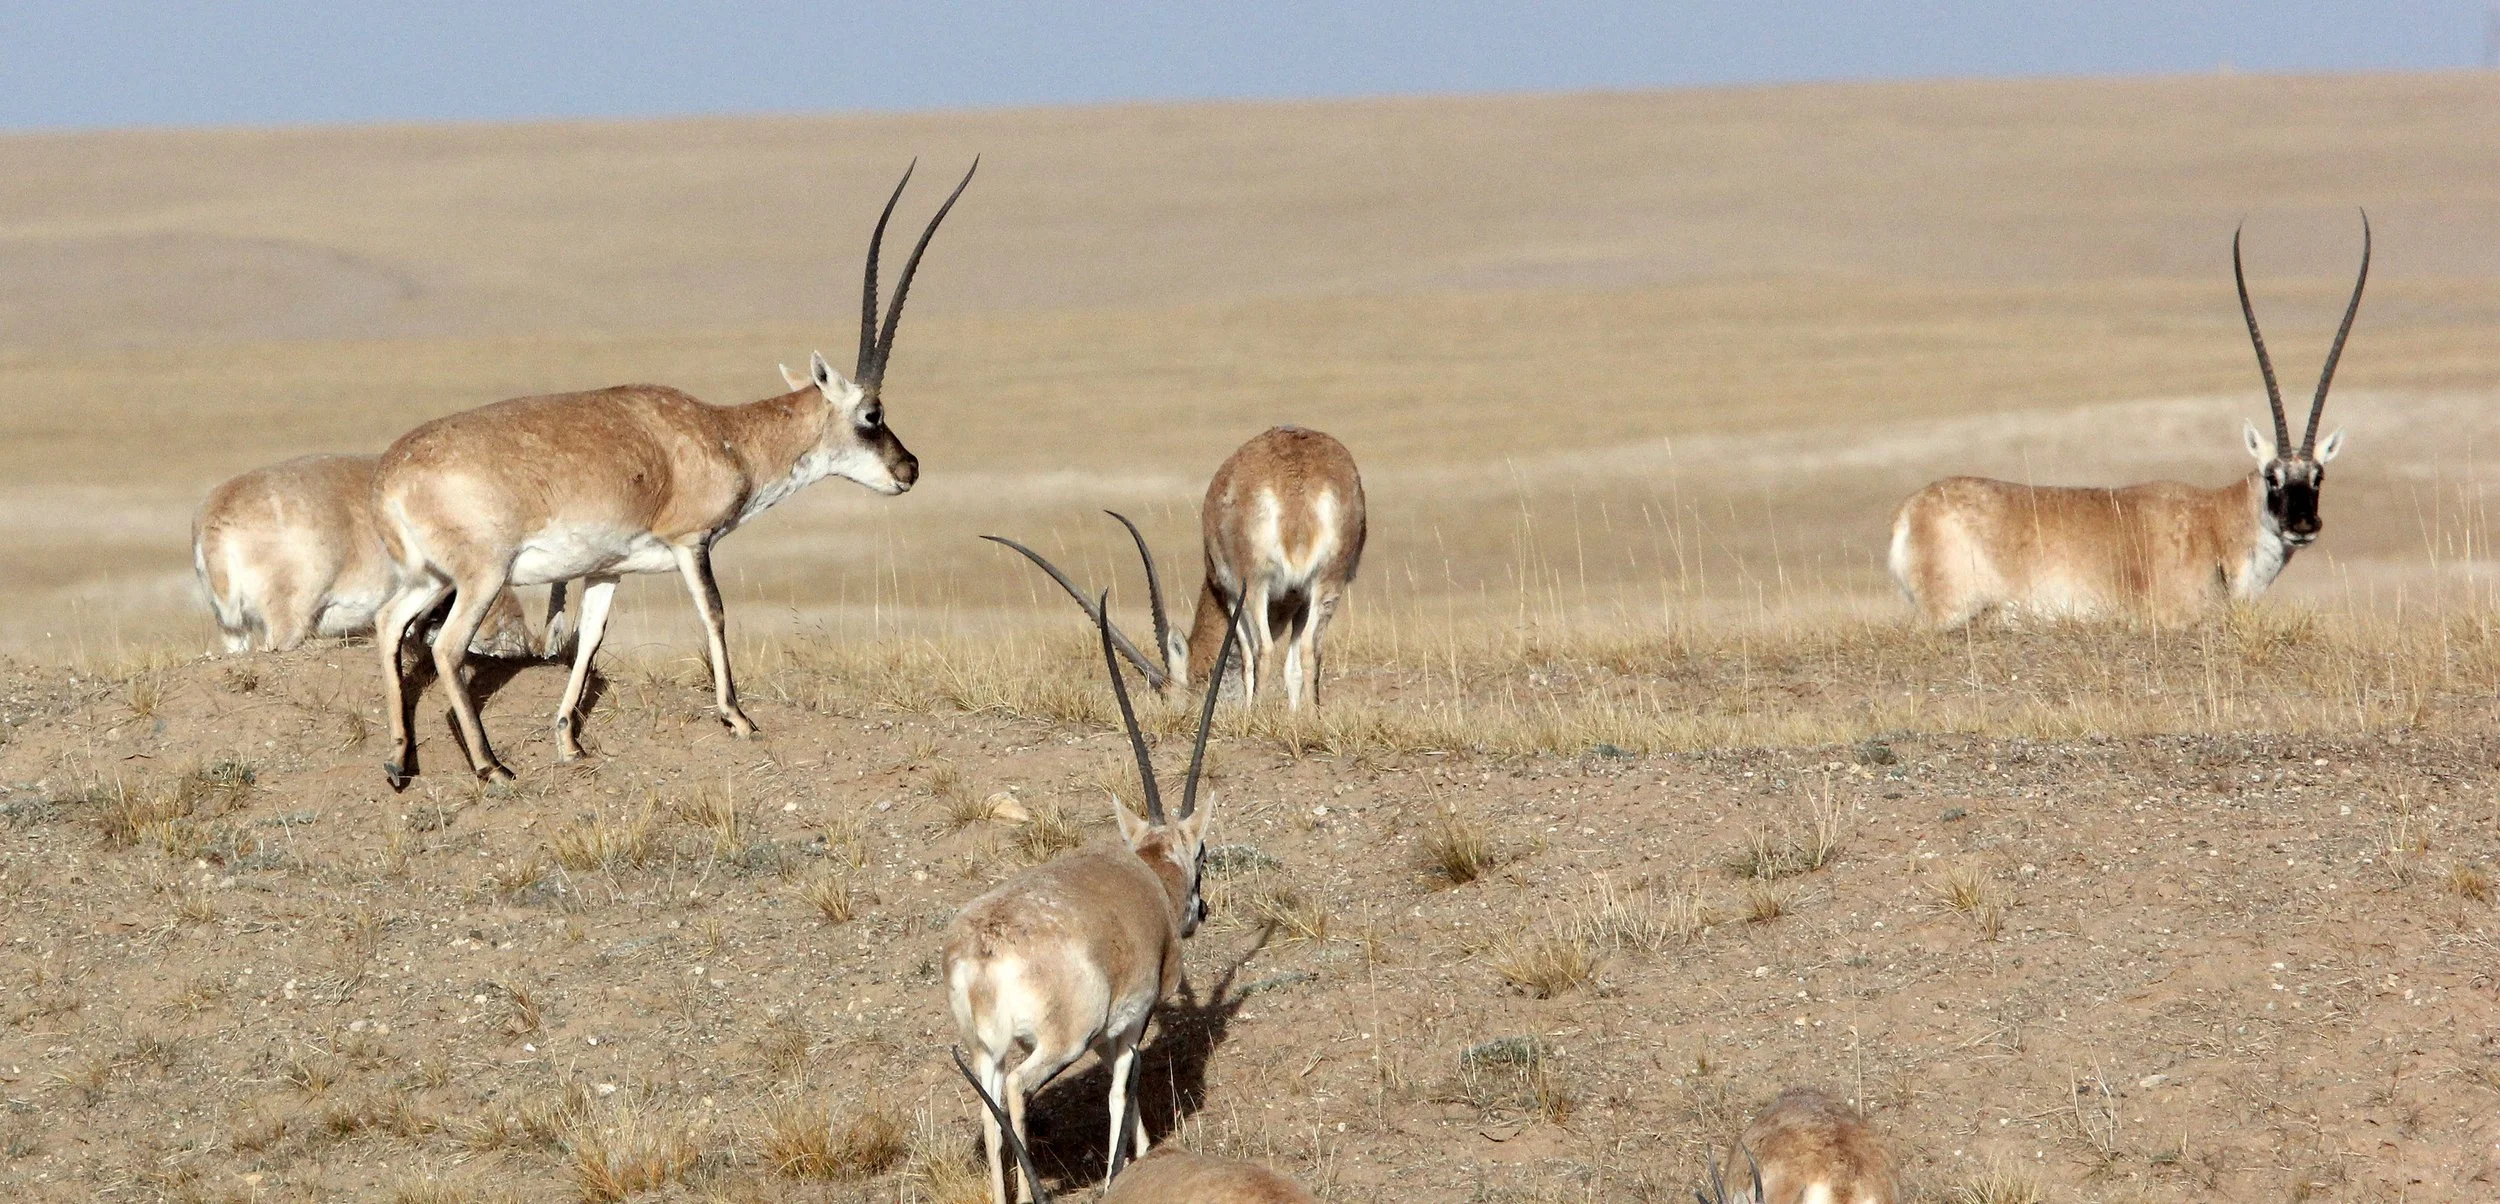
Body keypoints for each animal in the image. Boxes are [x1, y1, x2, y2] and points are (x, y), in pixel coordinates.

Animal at [369, 160, 973, 787]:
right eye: (872, 415)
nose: (909, 468)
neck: (724, 431)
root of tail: (391, 475)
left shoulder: (607, 571)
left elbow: (590, 640)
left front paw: (568, 741)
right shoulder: (693, 542)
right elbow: (715, 614)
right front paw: (738, 718)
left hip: (432, 578)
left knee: (389, 624)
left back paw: (398, 759)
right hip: (482, 577)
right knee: (445, 648)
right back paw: (490, 765)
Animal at [942, 593, 1240, 1204]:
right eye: (1201, 855)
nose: (1200, 912)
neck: (1148, 874)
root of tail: (984, 947)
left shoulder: (1105, 1037)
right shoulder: (1129, 1022)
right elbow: (1121, 1091)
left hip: (985, 1049)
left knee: (990, 1110)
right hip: (1058, 1044)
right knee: (1016, 1091)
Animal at [986, 425, 1363, 710]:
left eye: (1169, 695)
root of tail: (1295, 480)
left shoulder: (1229, 591)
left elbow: (1246, 656)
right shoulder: (1298, 598)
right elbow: (1294, 666)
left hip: (1254, 585)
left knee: (1263, 649)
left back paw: (1253, 716)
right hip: (1328, 582)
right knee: (1309, 648)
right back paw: (1311, 717)